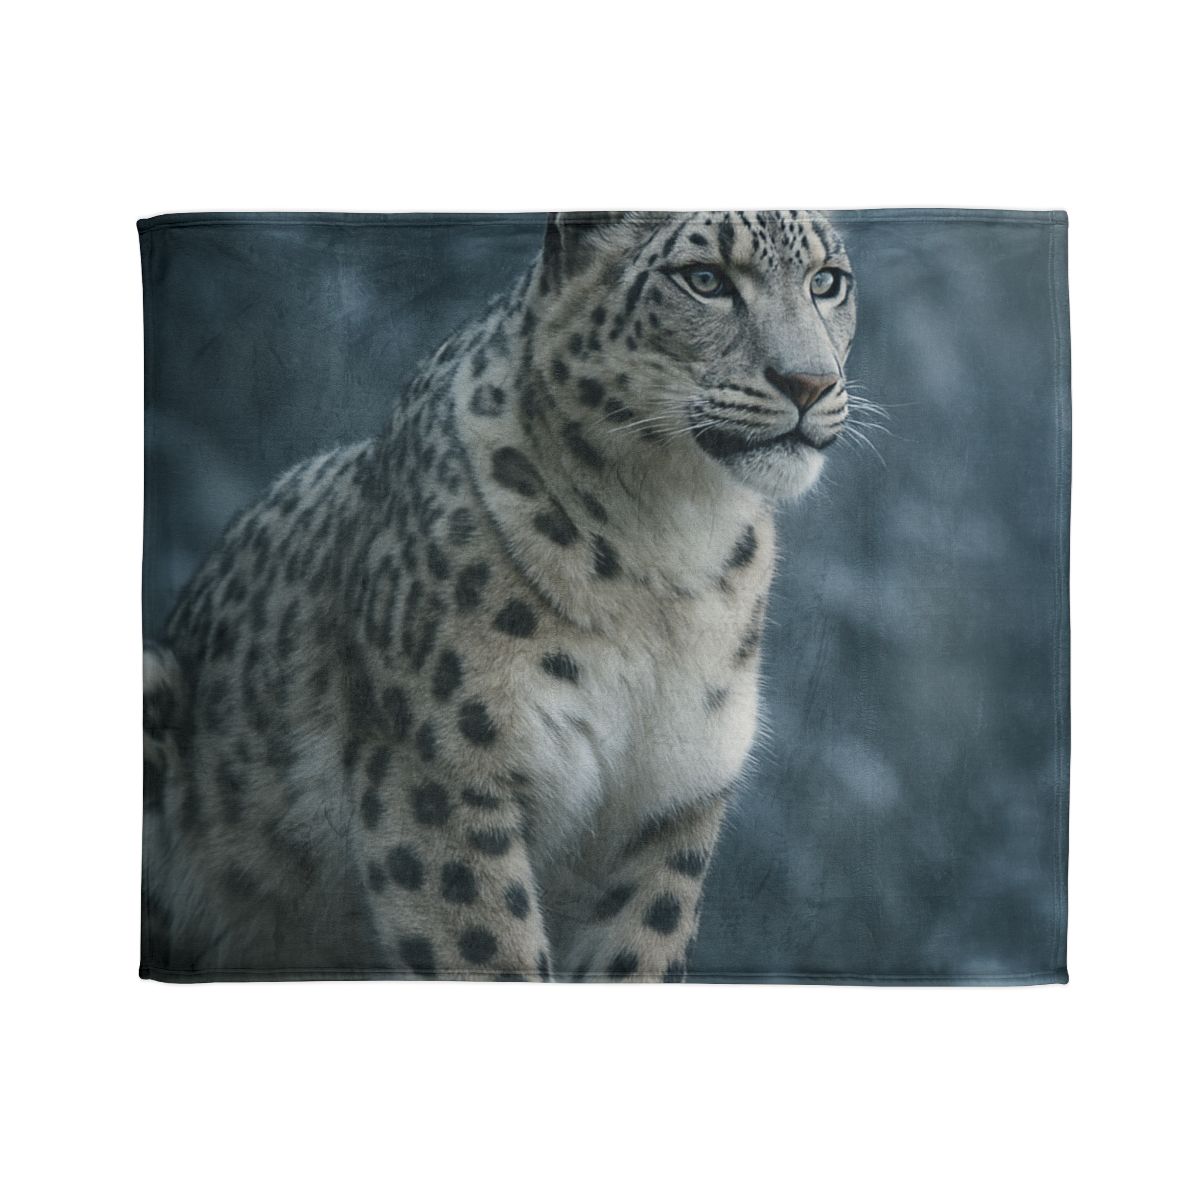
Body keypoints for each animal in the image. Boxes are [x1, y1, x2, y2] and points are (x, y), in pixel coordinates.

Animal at [141, 209, 857, 981]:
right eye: (704, 279)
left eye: (827, 282)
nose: (810, 382)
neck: (676, 539)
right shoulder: (441, 778)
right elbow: (490, 952)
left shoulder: (672, 807)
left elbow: (637, 954)